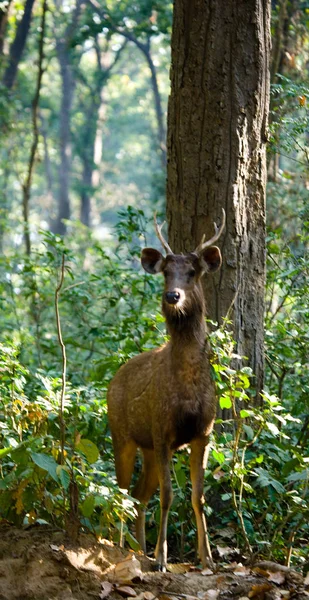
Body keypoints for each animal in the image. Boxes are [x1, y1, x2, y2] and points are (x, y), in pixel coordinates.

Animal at [107, 211, 225, 572]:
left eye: (192, 272)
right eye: (165, 272)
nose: (173, 296)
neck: (187, 386)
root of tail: (114, 379)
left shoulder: (203, 432)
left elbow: (198, 496)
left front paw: (207, 558)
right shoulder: (163, 431)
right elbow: (169, 494)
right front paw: (162, 557)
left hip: (145, 446)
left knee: (139, 494)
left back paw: (139, 548)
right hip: (122, 435)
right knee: (122, 490)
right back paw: (124, 548)